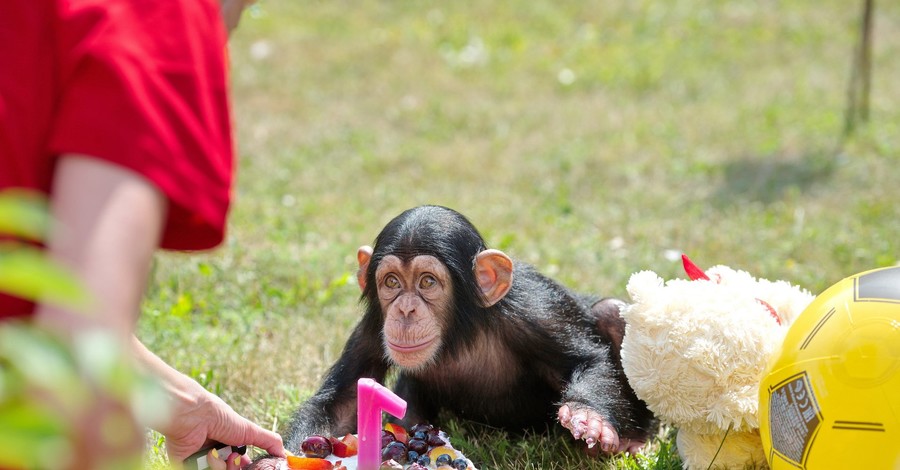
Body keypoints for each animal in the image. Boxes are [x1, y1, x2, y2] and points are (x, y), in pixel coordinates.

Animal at [282, 205, 652, 456]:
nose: (405, 310)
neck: (457, 334)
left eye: (427, 282)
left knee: (611, 312)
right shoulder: (371, 329)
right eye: (392, 283)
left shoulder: (533, 310)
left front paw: (589, 418)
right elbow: (341, 402)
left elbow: (585, 360)